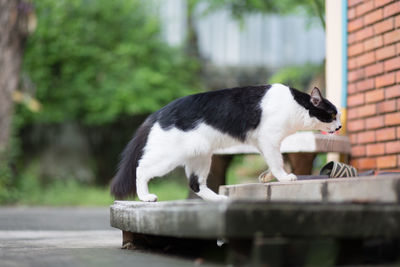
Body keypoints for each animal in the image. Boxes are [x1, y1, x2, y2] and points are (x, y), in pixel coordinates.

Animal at [111, 83, 342, 201]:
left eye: (338, 116)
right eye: (332, 115)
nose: (340, 126)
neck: (296, 106)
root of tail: (158, 113)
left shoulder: (262, 142)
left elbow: (273, 161)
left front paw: (268, 176)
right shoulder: (269, 138)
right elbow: (277, 161)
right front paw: (285, 177)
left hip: (201, 156)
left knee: (196, 184)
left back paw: (219, 199)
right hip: (168, 157)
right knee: (141, 169)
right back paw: (145, 196)